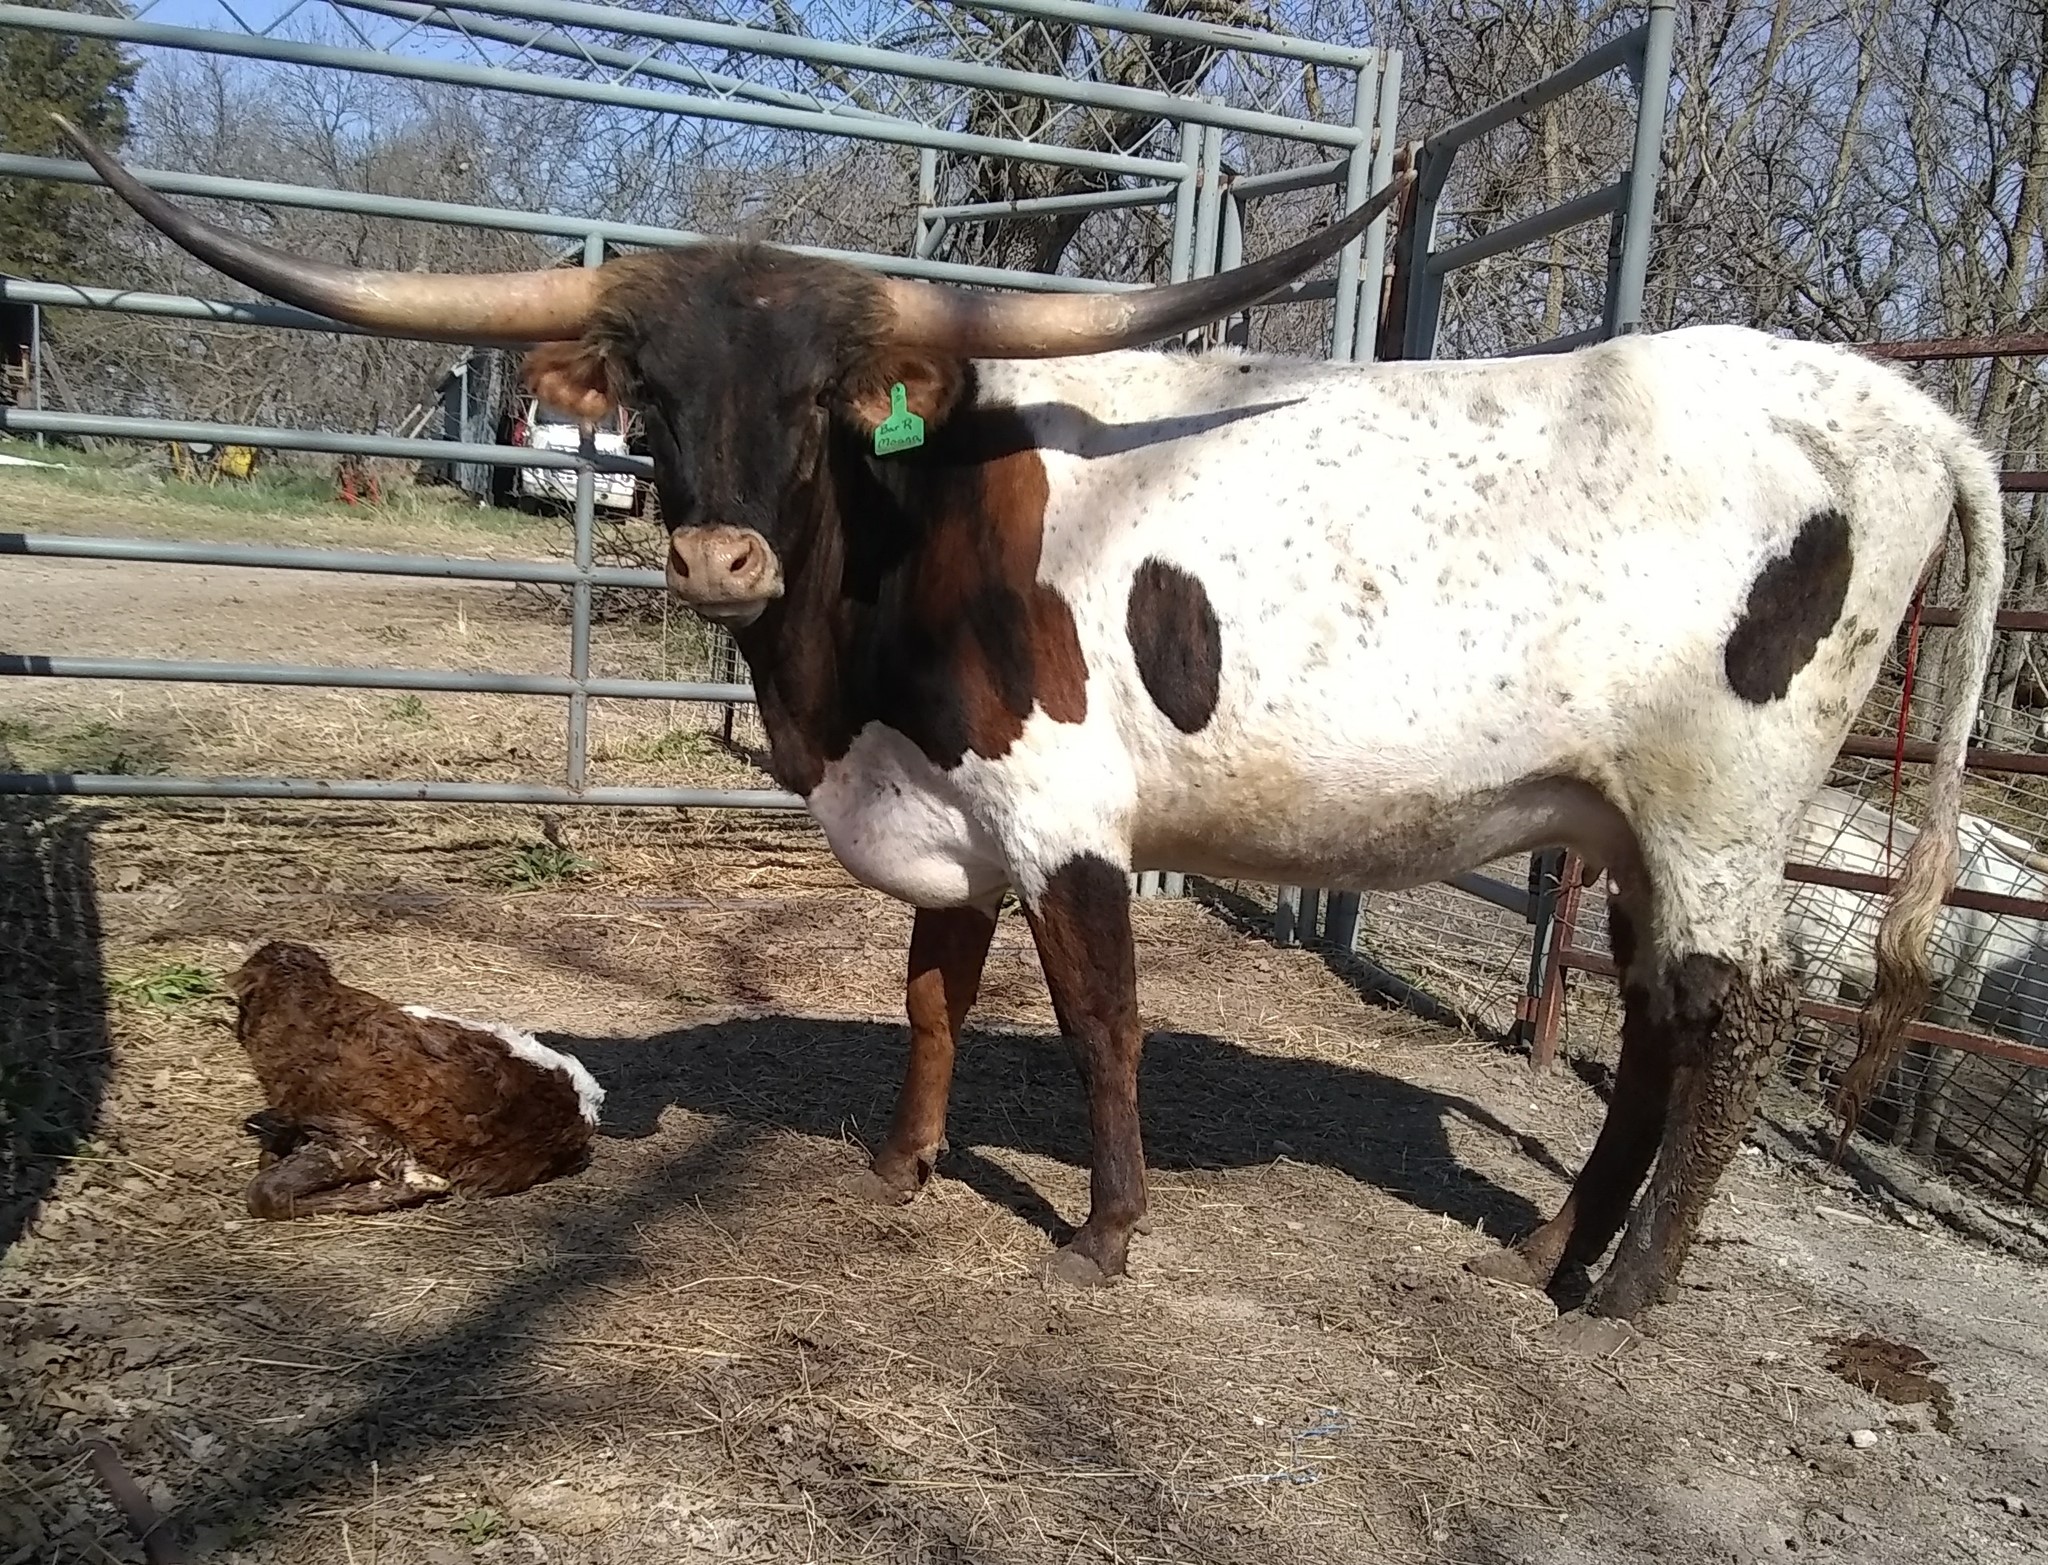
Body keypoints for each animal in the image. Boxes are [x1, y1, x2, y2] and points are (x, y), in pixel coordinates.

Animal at [59, 117, 2005, 1325]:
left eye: (820, 400)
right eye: (653, 393)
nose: (719, 554)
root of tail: (1894, 406)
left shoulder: (1069, 817)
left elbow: (1096, 1027)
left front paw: (1106, 1233)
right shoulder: (947, 818)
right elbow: (930, 994)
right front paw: (903, 1165)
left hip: (1722, 811)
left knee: (1733, 1033)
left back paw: (1632, 1292)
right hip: (1623, 828)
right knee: (1661, 1028)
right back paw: (1548, 1244)